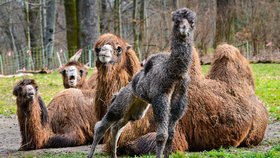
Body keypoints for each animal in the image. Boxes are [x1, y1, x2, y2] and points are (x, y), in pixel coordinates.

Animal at [88, 7, 196, 158]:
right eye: (176, 21)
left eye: (192, 22)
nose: (183, 29)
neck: (173, 72)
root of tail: (120, 91)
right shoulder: (160, 97)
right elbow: (162, 135)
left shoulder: (179, 102)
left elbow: (171, 134)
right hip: (121, 104)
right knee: (102, 125)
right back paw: (91, 154)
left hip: (136, 111)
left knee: (117, 127)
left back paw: (114, 155)